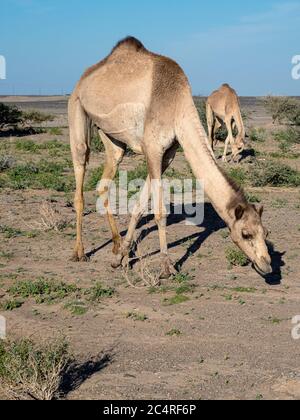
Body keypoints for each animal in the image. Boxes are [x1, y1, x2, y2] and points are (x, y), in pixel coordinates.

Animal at [68, 37, 272, 278]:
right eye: (246, 234)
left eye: (265, 232)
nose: (267, 265)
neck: (176, 105)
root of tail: (84, 78)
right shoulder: (153, 148)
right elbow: (159, 212)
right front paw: (166, 266)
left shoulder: (167, 154)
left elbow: (139, 206)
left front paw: (121, 258)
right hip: (77, 108)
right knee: (80, 169)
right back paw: (79, 252)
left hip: (111, 135)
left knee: (105, 179)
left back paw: (116, 245)